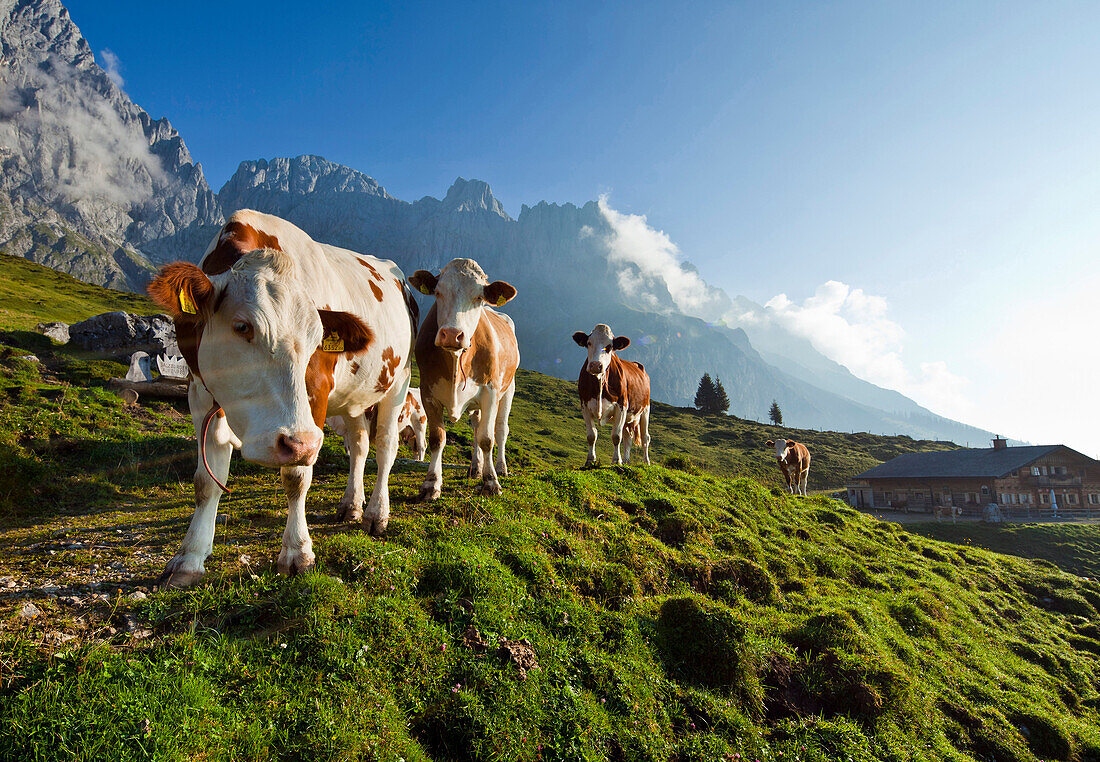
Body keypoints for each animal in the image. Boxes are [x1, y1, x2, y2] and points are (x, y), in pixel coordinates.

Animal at [148, 205, 413, 584]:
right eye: (242, 326)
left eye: (318, 339)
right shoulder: (199, 391)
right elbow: (205, 481)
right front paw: (189, 557)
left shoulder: (314, 397)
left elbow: (297, 475)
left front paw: (297, 552)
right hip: (353, 399)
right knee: (360, 444)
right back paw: (351, 505)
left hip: (399, 382)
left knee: (385, 446)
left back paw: (377, 514)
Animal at [572, 321, 646, 464]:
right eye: (589, 343)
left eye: (610, 346)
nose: (596, 365)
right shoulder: (584, 405)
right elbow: (591, 435)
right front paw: (590, 459)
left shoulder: (622, 406)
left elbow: (616, 436)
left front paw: (616, 460)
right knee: (628, 437)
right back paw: (626, 461)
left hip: (645, 410)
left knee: (646, 438)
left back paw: (646, 462)